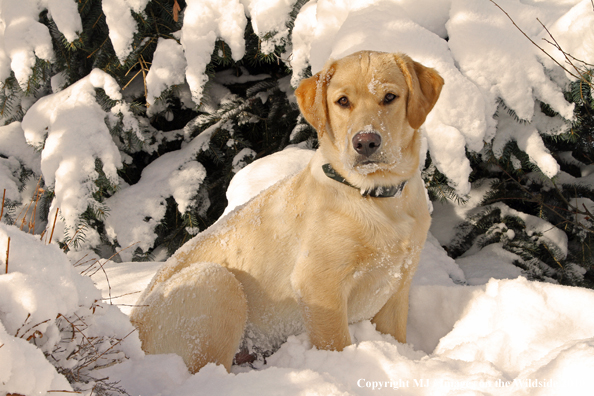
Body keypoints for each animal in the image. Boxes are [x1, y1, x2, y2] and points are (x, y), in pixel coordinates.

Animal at [131, 51, 444, 372]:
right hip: (216, 282)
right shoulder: (319, 287)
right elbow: (337, 344)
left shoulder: (397, 287)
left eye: (390, 97)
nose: (366, 142)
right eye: (343, 101)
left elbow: (396, 338)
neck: (377, 197)